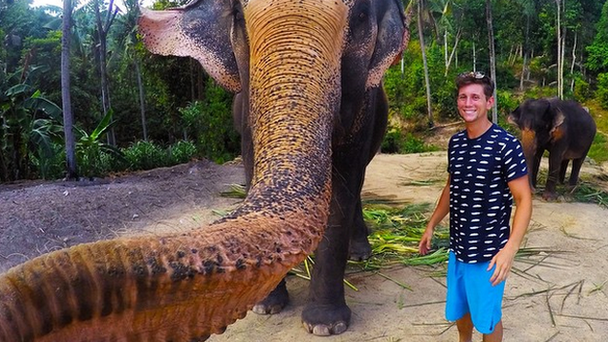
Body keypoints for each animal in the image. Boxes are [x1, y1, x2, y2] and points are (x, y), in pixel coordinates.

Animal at [0, 0, 410, 340]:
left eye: (360, 16)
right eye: (240, 17)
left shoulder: (363, 107)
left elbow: (341, 188)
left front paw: (325, 325)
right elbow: (251, 167)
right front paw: (266, 307)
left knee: (358, 183)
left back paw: (360, 254)